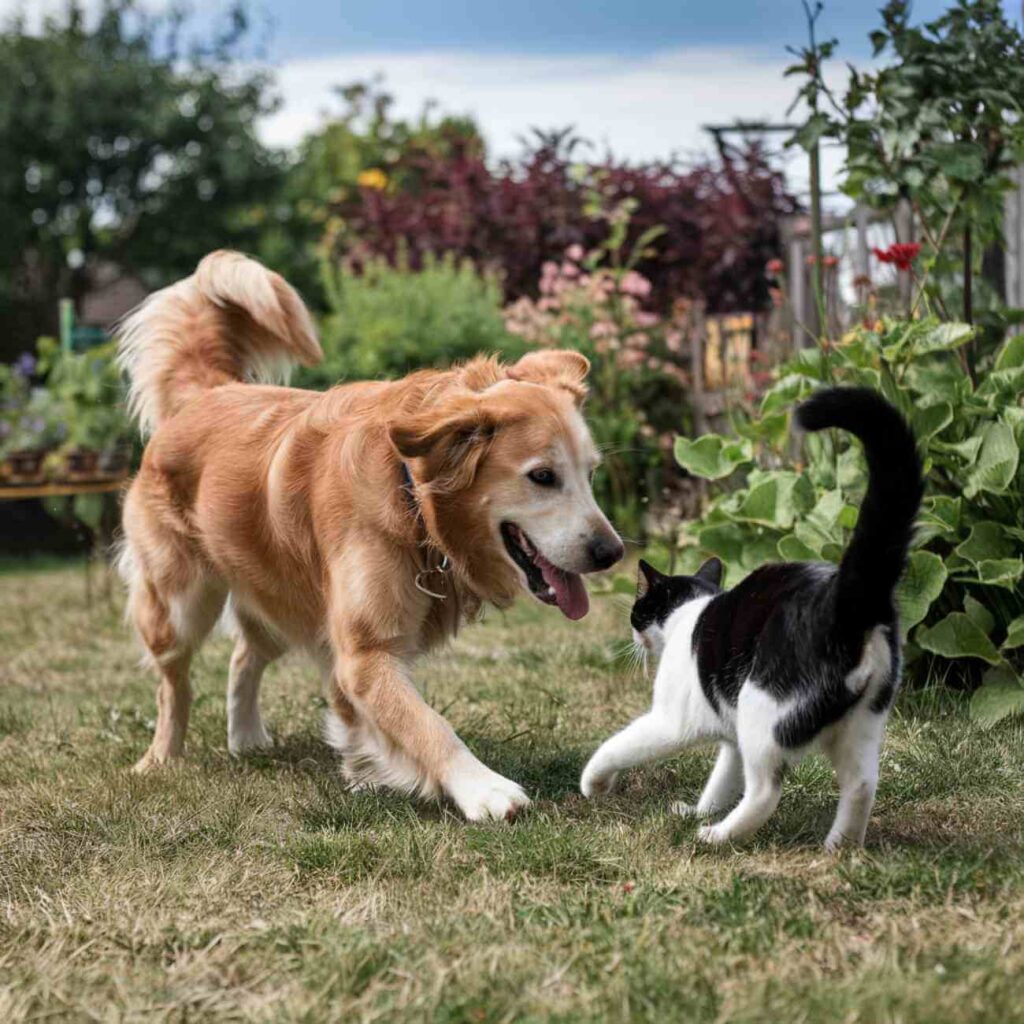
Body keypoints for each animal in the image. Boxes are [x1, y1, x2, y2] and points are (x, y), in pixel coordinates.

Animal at [116, 251, 618, 819]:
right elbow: (427, 723)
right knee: (172, 685)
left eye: (591, 473)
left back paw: (247, 739)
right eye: (543, 476)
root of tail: (209, 392)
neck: (412, 496)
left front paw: (365, 769)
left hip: (278, 593)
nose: (611, 552)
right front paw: (484, 789)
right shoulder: (364, 653)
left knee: (245, 654)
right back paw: (160, 759)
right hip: (179, 602)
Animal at [581, 385, 925, 847]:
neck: (686, 614)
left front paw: (594, 783)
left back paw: (717, 836)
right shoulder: (731, 733)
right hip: (862, 721)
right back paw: (837, 849)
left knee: (765, 790)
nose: (634, 636)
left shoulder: (672, 721)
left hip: (763, 708)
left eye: (637, 612)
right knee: (861, 785)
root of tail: (849, 600)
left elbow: (619, 745)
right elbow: (722, 778)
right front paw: (698, 810)